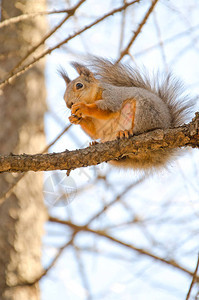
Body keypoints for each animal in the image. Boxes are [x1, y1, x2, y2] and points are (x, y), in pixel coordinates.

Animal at [59, 57, 194, 170]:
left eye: (79, 85)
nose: (69, 104)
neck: (93, 97)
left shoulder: (112, 96)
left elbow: (108, 108)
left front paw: (82, 107)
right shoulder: (98, 125)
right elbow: (95, 132)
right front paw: (75, 119)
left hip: (144, 111)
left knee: (141, 129)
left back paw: (127, 132)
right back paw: (96, 144)